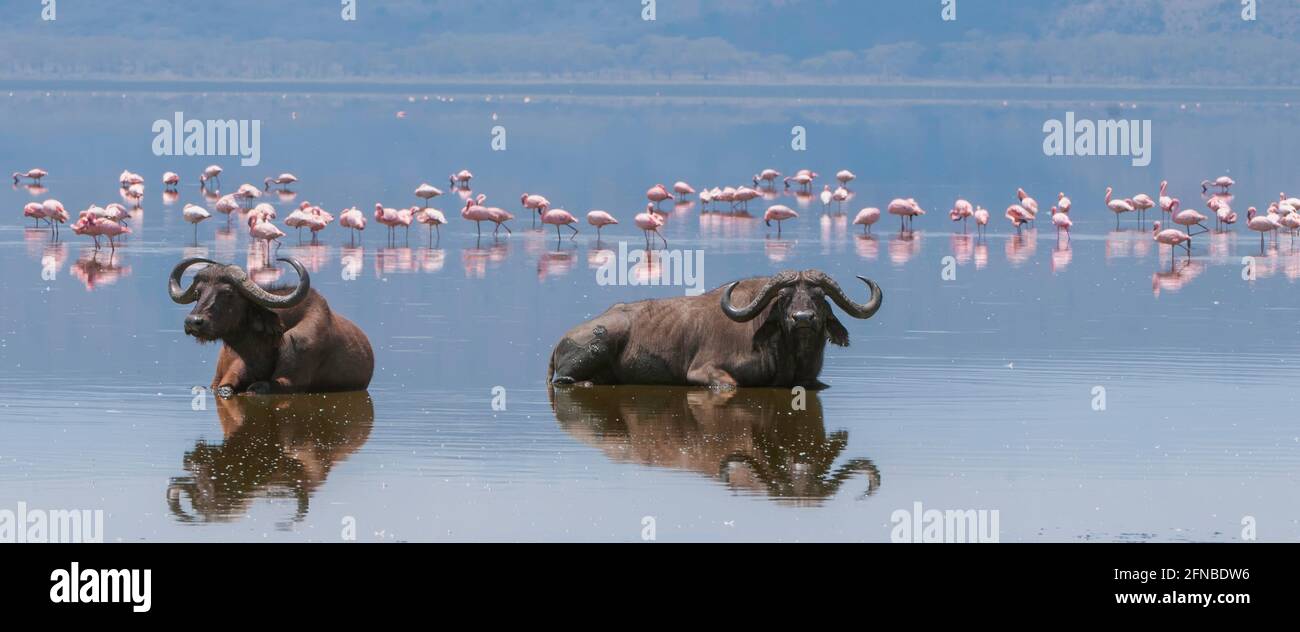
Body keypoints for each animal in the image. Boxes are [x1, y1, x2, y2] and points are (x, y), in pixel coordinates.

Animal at [166, 254, 371, 395]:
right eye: (198, 293)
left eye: (228, 293)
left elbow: (259, 387)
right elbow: (225, 389)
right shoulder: (225, 378)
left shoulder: (289, 381)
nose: (193, 322)